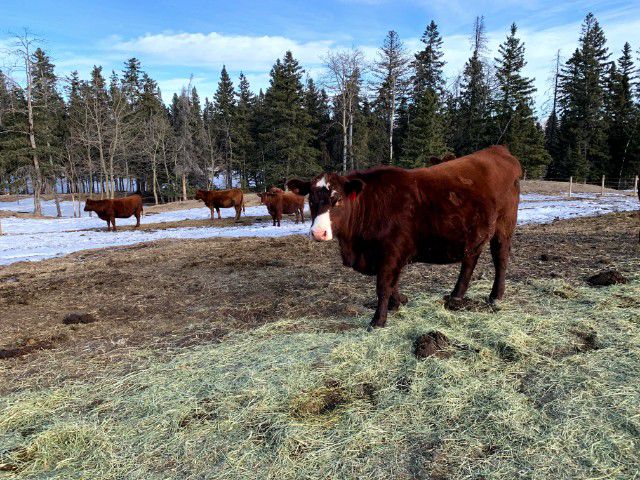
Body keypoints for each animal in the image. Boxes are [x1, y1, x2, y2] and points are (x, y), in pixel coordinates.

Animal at [287, 145, 522, 330]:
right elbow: (393, 283)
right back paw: (456, 295)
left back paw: (495, 297)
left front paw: (378, 320)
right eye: (310, 199)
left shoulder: (391, 251)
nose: (318, 233)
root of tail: (498, 150)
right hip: (474, 233)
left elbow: (383, 285)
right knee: (470, 259)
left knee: (500, 258)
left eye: (338, 199)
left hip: (504, 224)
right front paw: (398, 302)